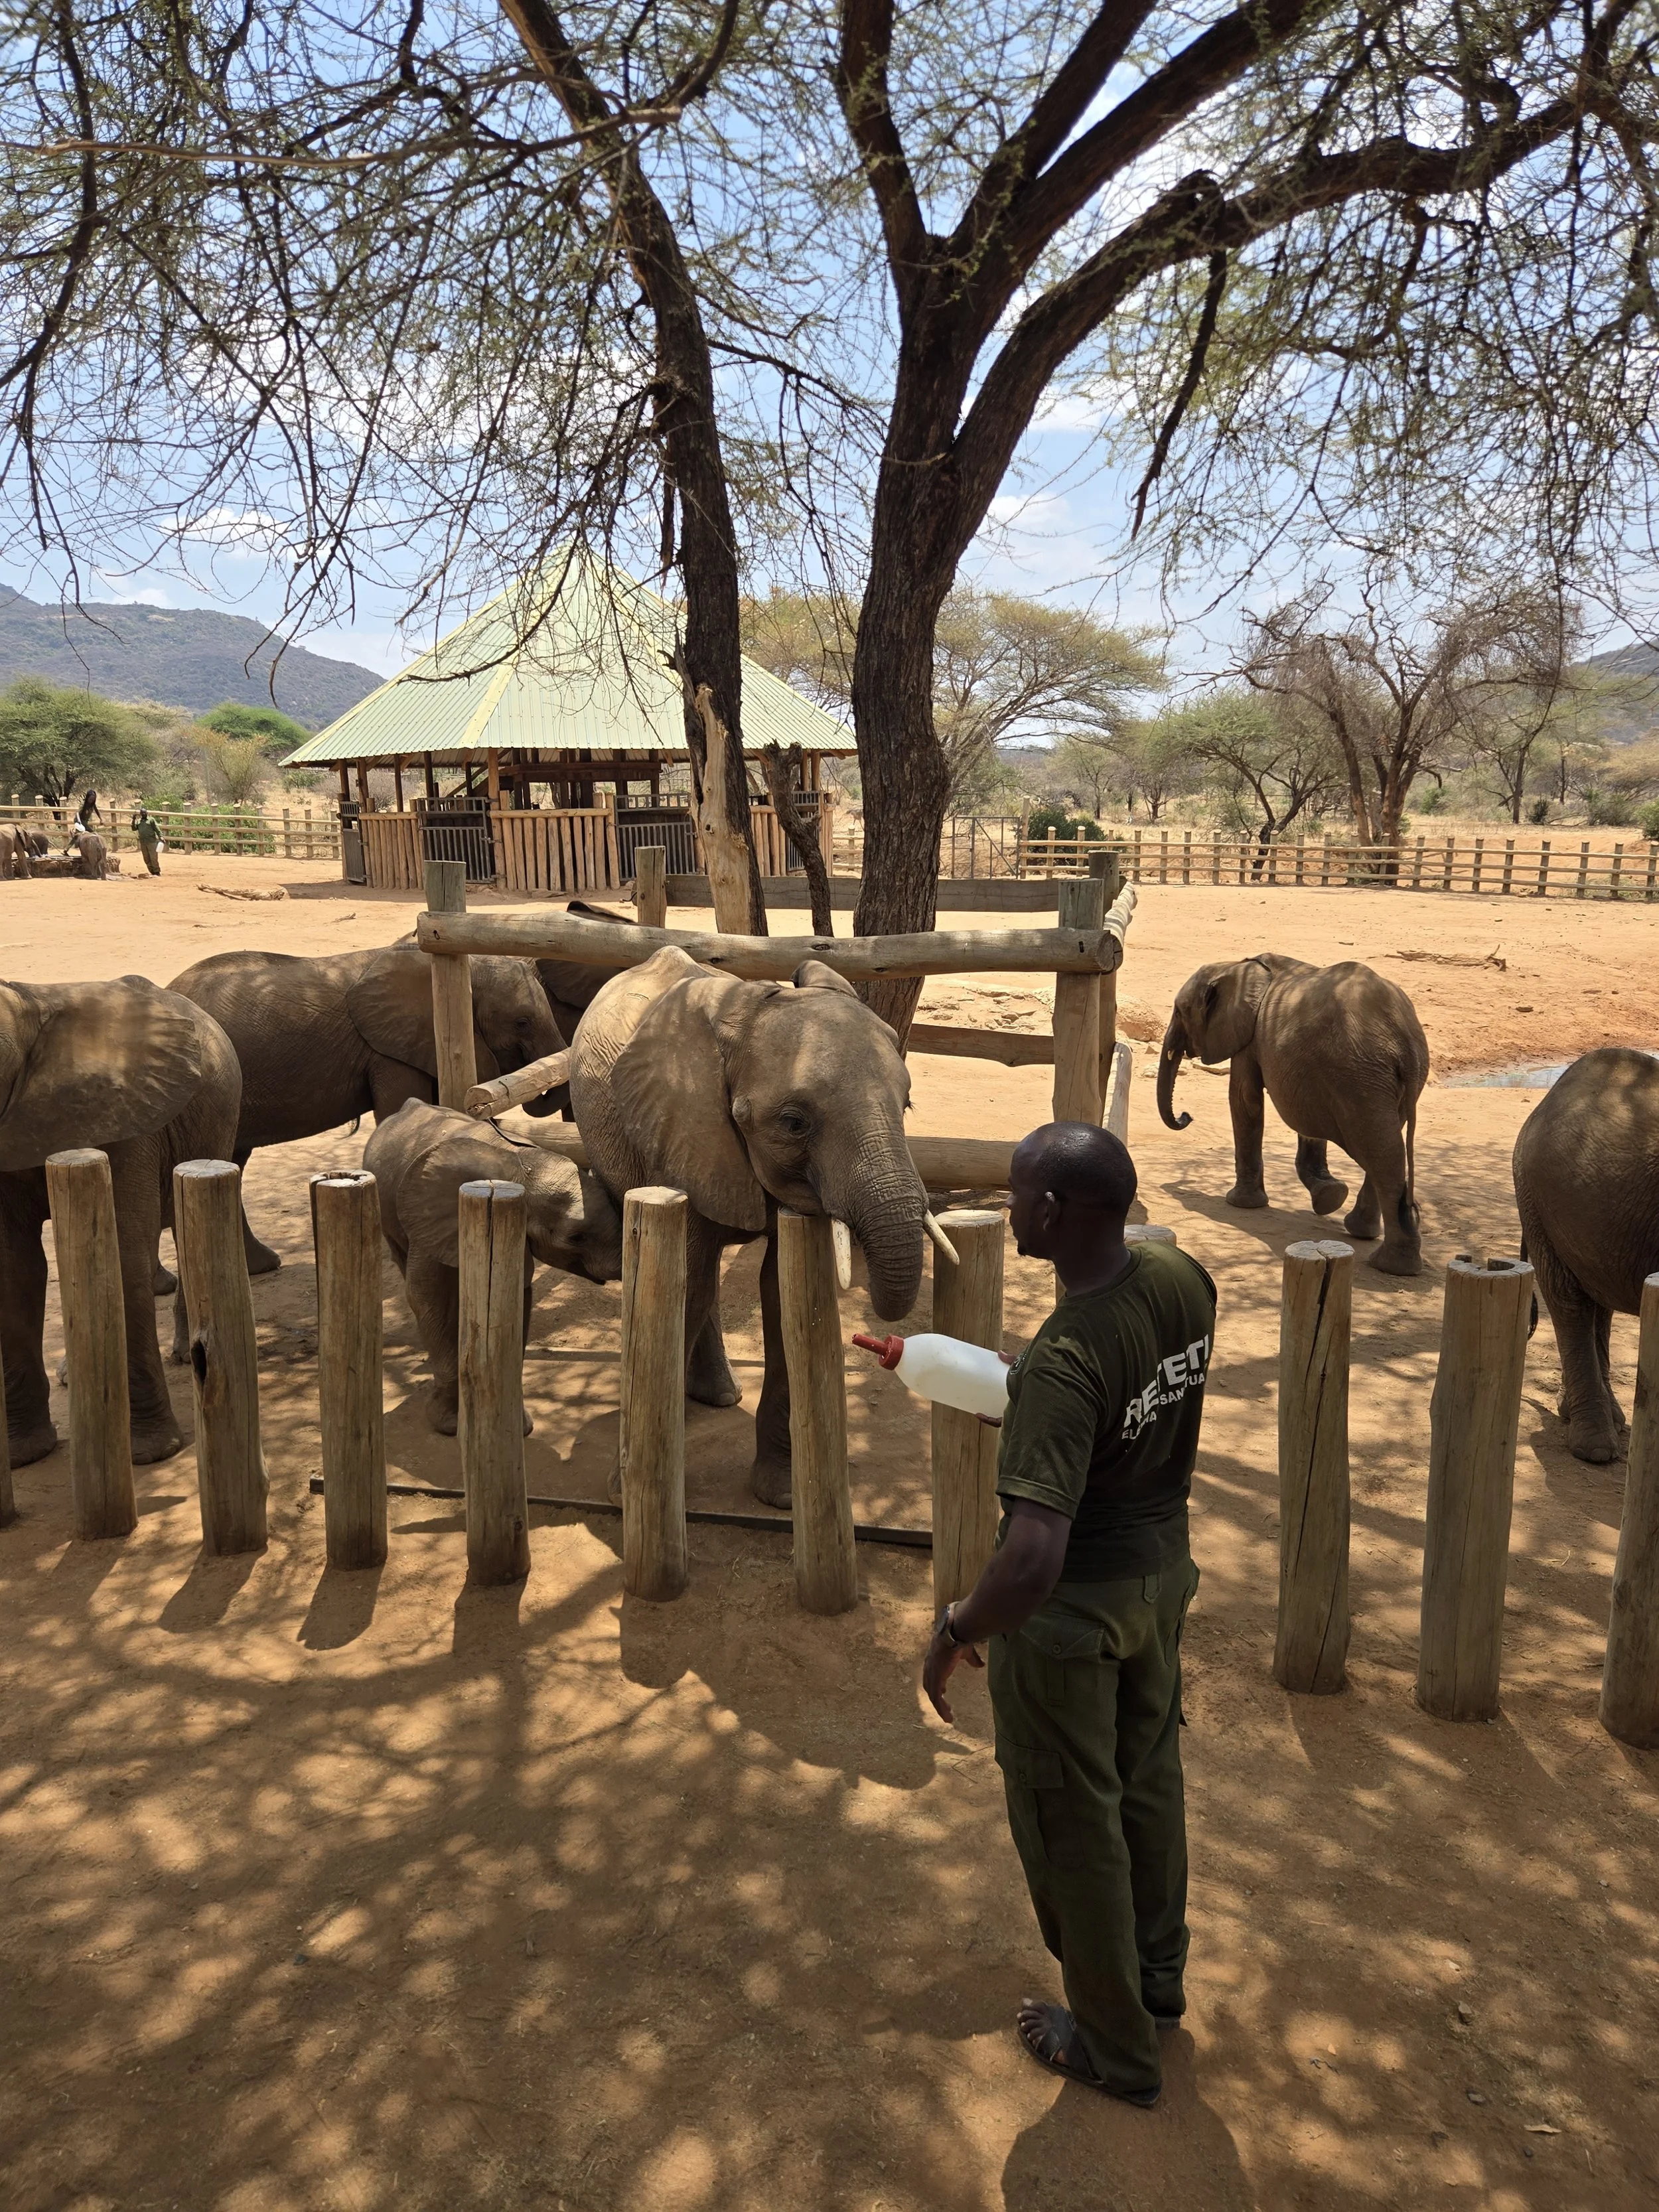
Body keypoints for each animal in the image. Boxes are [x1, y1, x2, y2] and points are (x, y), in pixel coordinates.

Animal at [1, 974, 241, 1468]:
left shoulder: (129, 1117)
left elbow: (123, 1254)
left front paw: (150, 1454)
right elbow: (15, 1271)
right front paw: (23, 1455)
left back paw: (186, 1358)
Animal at [168, 943, 565, 1276]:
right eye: (522, 1023)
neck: (461, 969)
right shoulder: (389, 1052)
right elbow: (398, 1111)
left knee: (229, 1159)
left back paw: (260, 1267)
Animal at [364, 1099, 622, 1433]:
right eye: (576, 1237)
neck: (518, 1164)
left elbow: (515, 1300)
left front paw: (518, 1426)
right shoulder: (430, 1218)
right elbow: (427, 1299)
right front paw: (449, 1425)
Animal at [569, 944, 934, 1507]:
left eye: (908, 1104)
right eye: (793, 1123)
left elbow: (782, 1293)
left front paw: (781, 1496)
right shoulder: (680, 1134)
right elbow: (686, 1285)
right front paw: (626, 1497)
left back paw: (720, 1396)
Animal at [1157, 954, 1430, 1275]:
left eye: (1180, 1012)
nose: (1186, 1116)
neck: (1236, 965)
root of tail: (1404, 1040)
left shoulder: (1249, 1038)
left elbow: (1244, 1100)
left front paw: (1240, 1203)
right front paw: (1329, 1196)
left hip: (1360, 1079)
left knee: (1380, 1153)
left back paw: (1390, 1265)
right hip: (1378, 1081)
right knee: (1387, 1148)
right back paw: (1369, 1239)